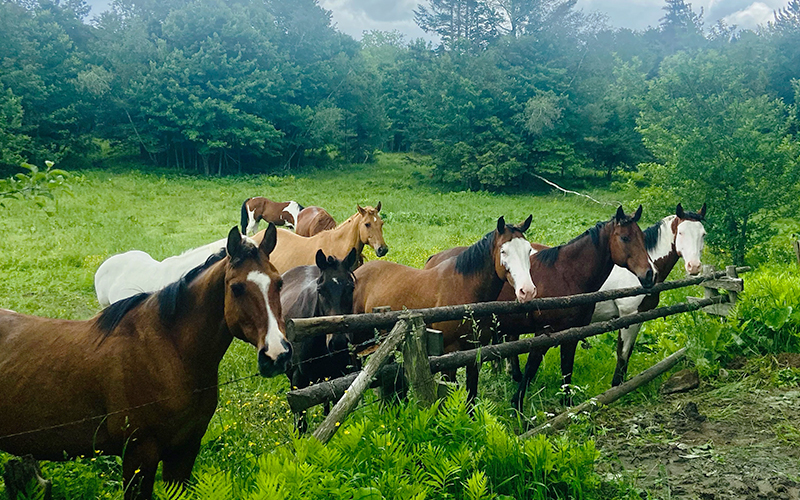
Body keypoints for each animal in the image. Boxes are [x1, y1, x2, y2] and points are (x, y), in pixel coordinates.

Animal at [0, 227, 290, 500]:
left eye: (279, 283)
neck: (169, 352)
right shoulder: (139, 455)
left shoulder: (184, 451)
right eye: (237, 288)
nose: (277, 354)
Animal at [282, 248, 356, 432]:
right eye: (321, 290)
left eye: (351, 288)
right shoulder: (298, 380)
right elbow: (301, 423)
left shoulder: (339, 375)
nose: (338, 343)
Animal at [352, 215, 536, 402]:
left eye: (529, 250)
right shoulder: (449, 355)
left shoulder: (474, 354)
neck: (465, 291)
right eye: (503, 251)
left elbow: (471, 393)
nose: (527, 291)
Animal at [588, 203, 708, 386]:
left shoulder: (639, 317)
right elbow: (622, 354)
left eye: (703, 234)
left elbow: (628, 353)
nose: (693, 266)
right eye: (681, 232)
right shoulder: (627, 315)